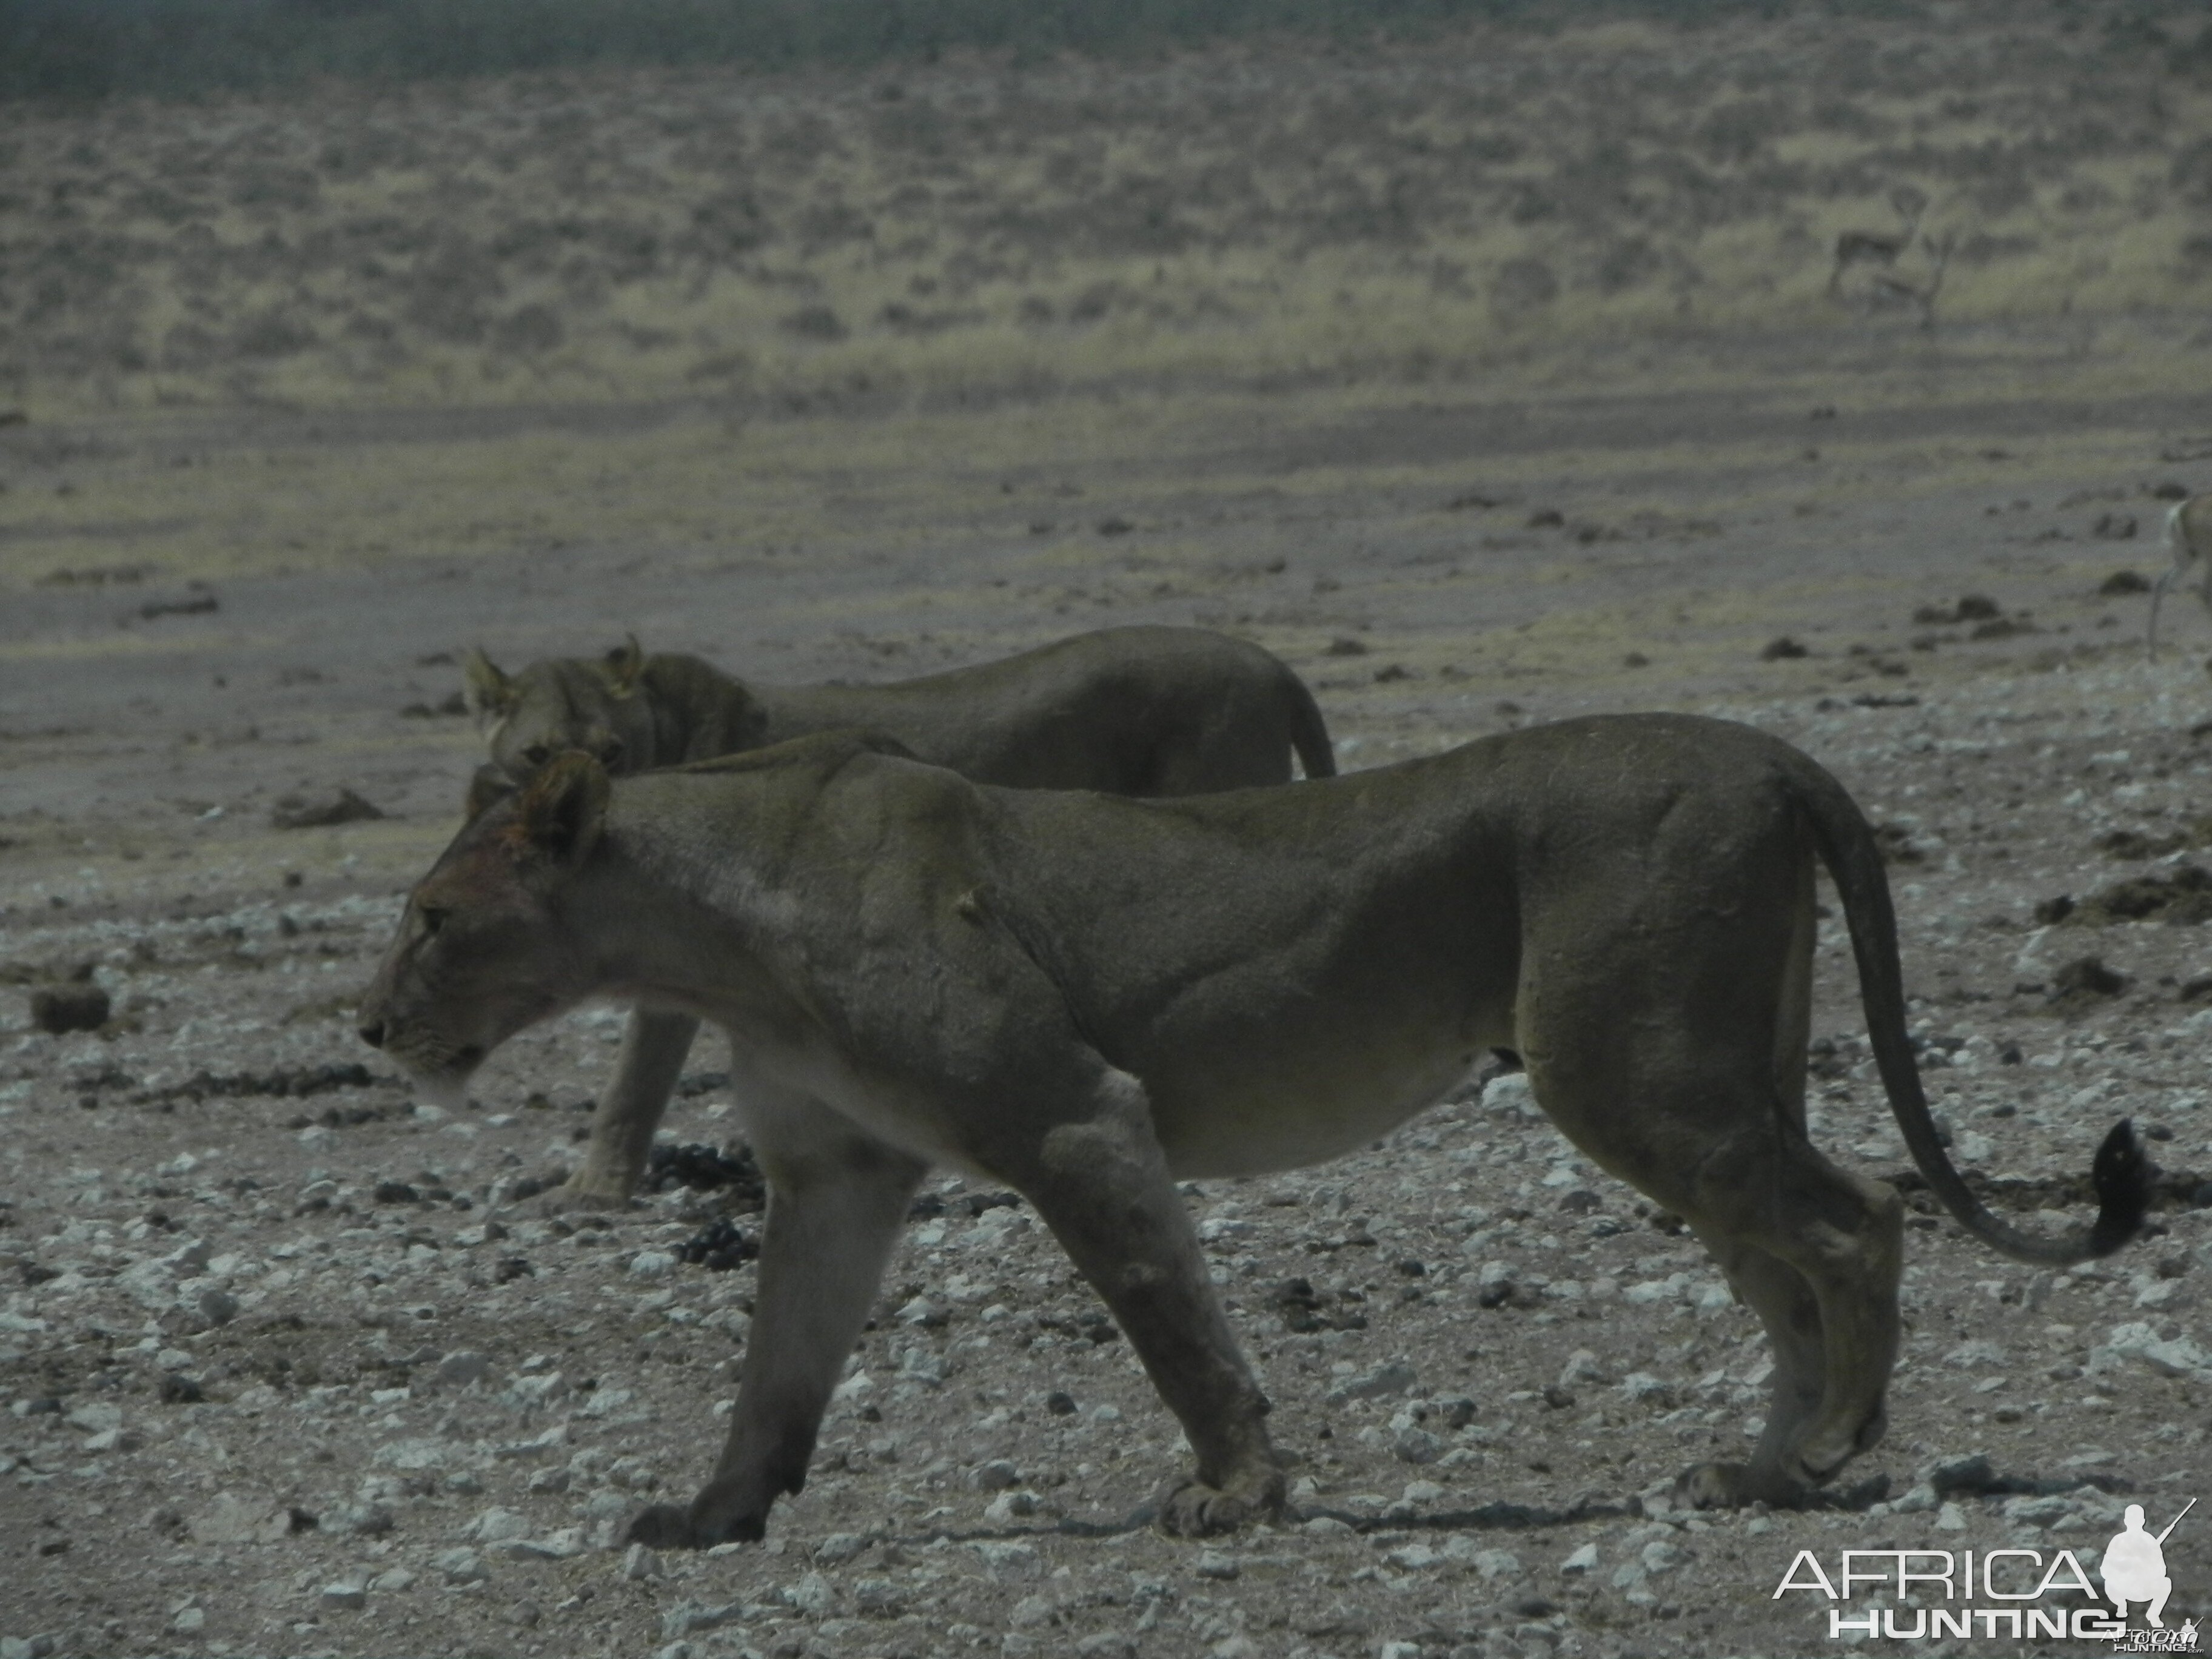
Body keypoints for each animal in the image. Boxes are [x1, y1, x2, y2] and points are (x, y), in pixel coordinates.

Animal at [2141, 493, 2212, 663]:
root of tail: (2183, 509)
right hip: (2203, 559)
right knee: (2205, 593)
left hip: (2187, 559)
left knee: (2161, 585)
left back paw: (2153, 654)